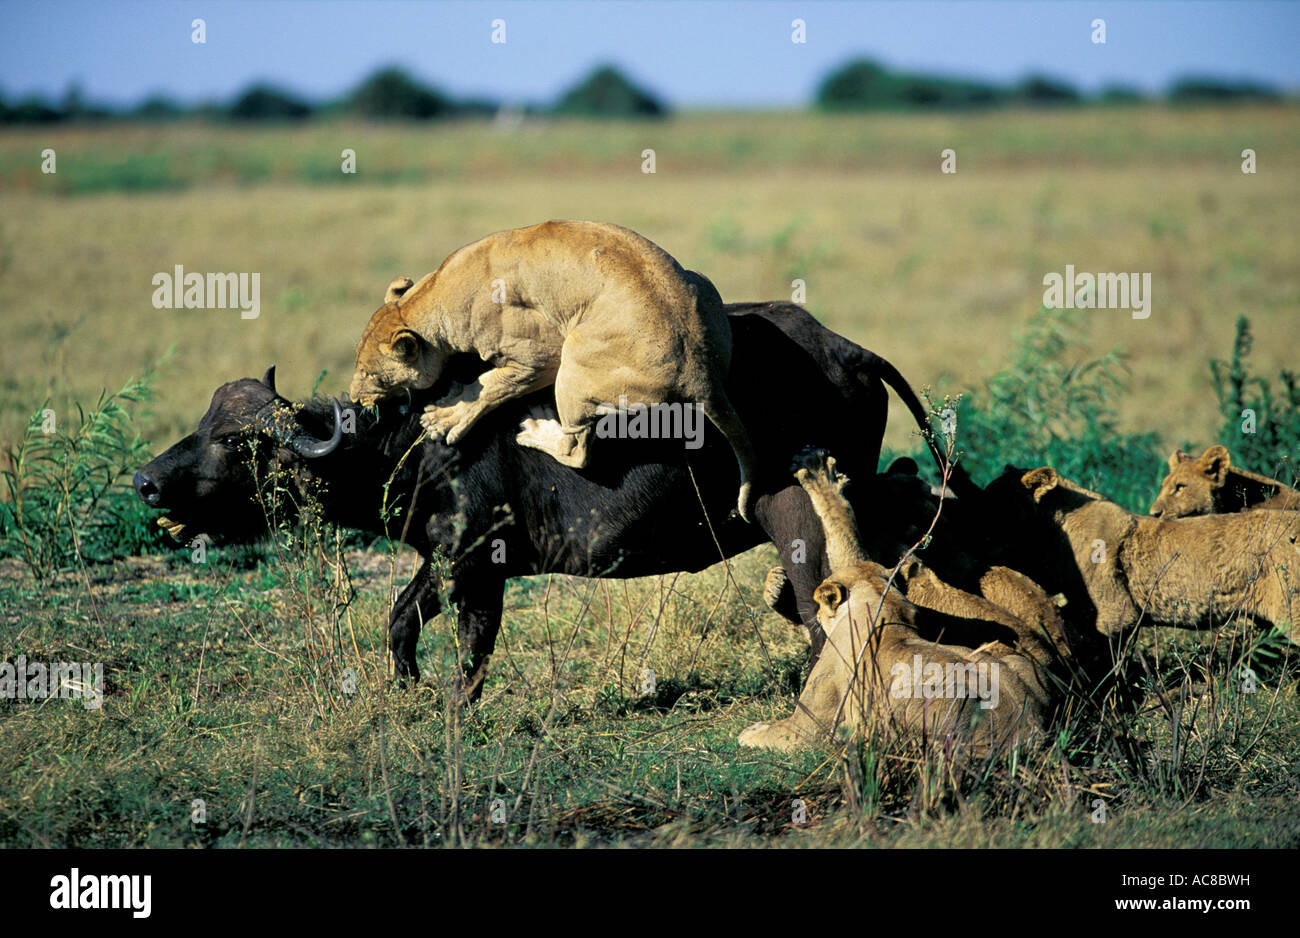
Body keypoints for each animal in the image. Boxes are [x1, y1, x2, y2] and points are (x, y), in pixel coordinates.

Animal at [137, 302, 951, 696]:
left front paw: (451, 710)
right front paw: (405, 689)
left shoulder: (479, 568)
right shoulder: (445, 557)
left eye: (237, 442)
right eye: (202, 424)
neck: (411, 439)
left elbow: (472, 649)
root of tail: (847, 350)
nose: (145, 480)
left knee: (824, 610)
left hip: (801, 521)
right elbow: (400, 620)